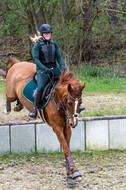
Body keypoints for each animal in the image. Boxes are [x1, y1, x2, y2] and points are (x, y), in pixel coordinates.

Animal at [5, 57, 85, 186]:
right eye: (69, 102)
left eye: (80, 102)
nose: (74, 123)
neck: (58, 100)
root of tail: (17, 64)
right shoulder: (57, 128)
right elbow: (66, 149)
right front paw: (72, 174)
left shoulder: (66, 128)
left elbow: (67, 149)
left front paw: (72, 173)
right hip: (11, 92)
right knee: (8, 96)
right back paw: (8, 109)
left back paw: (18, 106)